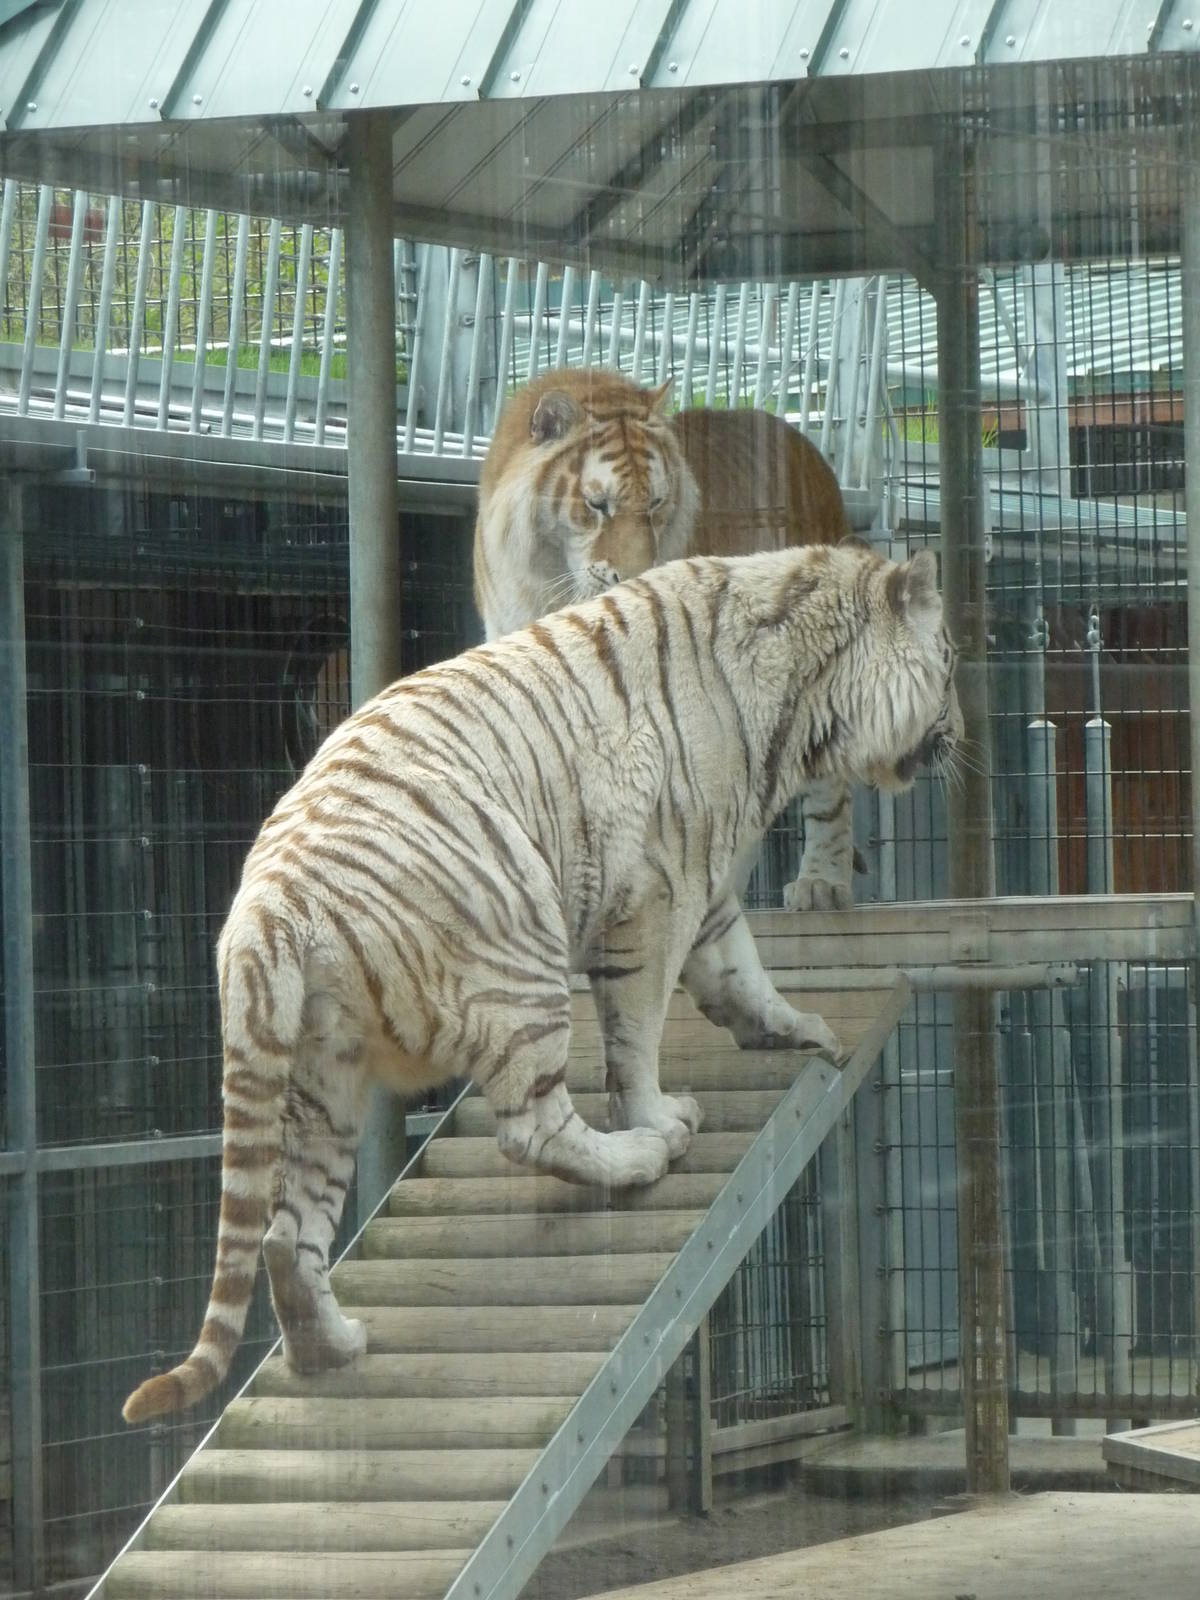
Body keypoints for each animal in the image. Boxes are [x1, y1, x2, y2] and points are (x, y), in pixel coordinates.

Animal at [122, 540, 960, 1424]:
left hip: (321, 1079)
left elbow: (741, 967)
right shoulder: (662, 889)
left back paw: (333, 1347)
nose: (958, 733)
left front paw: (800, 1030)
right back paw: (643, 1152)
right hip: (520, 959)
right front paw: (657, 1112)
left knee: (286, 1236)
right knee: (532, 1130)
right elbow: (638, 1034)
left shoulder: (701, 887)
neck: (800, 692)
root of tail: (269, 906)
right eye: (949, 660)